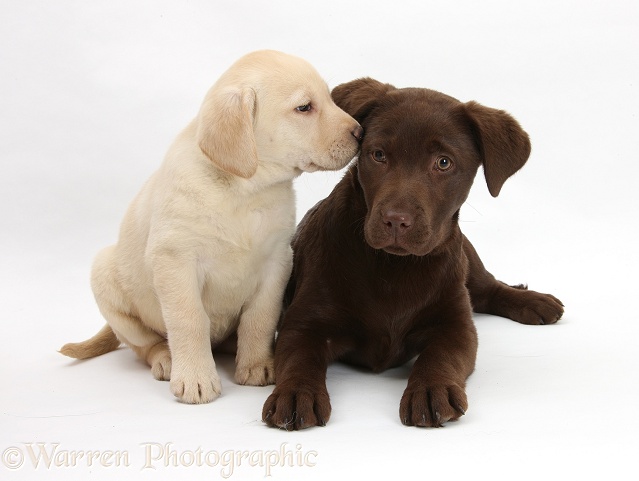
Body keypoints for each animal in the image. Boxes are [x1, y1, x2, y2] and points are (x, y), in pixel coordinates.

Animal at [62, 49, 362, 402]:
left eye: (329, 99)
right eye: (304, 107)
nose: (360, 132)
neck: (246, 191)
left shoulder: (277, 262)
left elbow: (260, 318)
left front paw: (258, 365)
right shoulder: (175, 262)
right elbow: (189, 321)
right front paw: (196, 378)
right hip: (106, 278)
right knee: (144, 344)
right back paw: (166, 359)